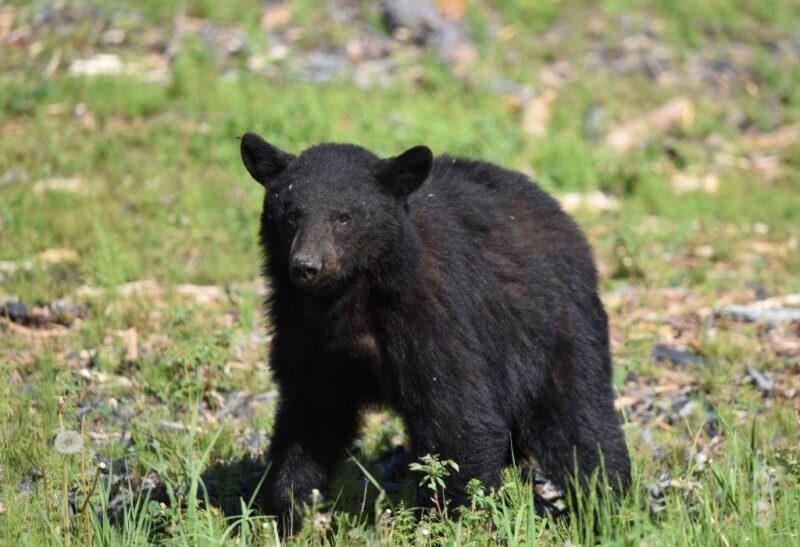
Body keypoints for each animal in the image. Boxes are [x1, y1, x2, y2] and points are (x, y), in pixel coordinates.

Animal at [239, 133, 632, 532]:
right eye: (292, 214)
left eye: (344, 217)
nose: (307, 266)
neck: (350, 298)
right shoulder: (305, 332)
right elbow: (309, 418)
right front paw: (288, 512)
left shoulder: (435, 312)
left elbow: (455, 416)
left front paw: (450, 521)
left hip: (556, 327)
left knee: (579, 420)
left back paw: (610, 508)